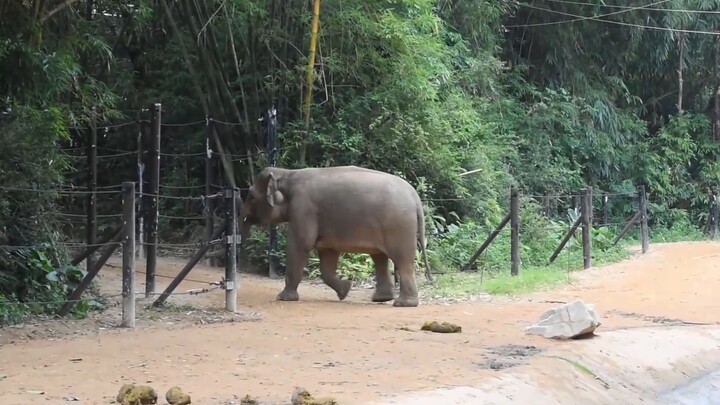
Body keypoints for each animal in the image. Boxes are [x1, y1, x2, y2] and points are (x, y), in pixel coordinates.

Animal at [240, 164, 434, 306]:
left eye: (251, 196)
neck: (288, 173)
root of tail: (415, 197)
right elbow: (327, 255)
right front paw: (345, 290)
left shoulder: (303, 209)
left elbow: (300, 245)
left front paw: (283, 298)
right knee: (380, 257)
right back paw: (382, 299)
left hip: (399, 226)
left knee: (402, 261)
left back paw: (403, 303)